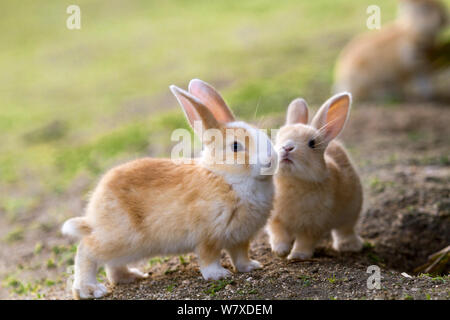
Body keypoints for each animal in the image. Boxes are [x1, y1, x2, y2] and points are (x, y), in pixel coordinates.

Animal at [61, 79, 276, 298]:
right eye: (235, 147)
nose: (270, 159)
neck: (226, 176)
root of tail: (95, 207)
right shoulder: (207, 236)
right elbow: (209, 258)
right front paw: (218, 275)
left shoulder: (240, 238)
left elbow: (240, 255)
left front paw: (251, 266)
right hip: (121, 238)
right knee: (86, 249)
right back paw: (90, 289)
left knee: (111, 265)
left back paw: (130, 276)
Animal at [268, 92, 362, 260]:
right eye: (278, 138)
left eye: (312, 143)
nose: (287, 147)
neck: (292, 181)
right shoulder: (275, 220)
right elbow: (278, 234)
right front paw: (280, 251)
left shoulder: (313, 224)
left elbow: (305, 241)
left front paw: (297, 256)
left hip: (351, 212)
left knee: (345, 230)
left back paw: (349, 246)